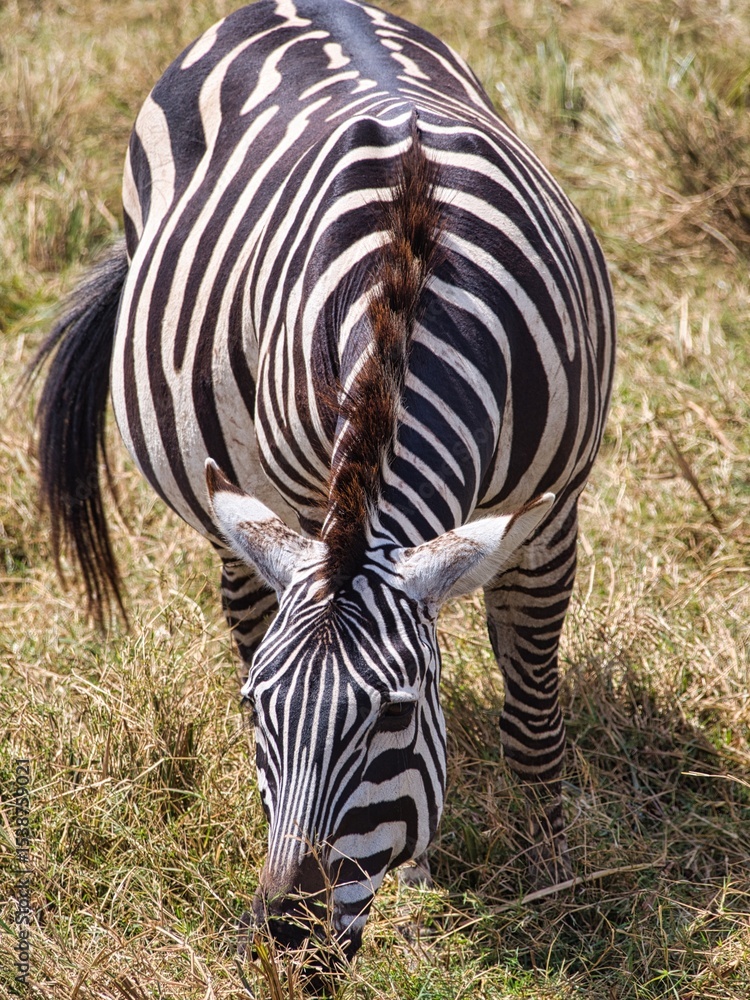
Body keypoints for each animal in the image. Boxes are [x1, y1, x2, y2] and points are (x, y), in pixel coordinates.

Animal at [32, 0, 615, 961]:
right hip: (238, 488)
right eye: (257, 711)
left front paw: (555, 888)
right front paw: (423, 874)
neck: (409, 295)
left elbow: (532, 707)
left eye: (394, 717)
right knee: (243, 601)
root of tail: (287, 4)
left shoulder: (550, 515)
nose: (285, 936)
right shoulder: (310, 503)